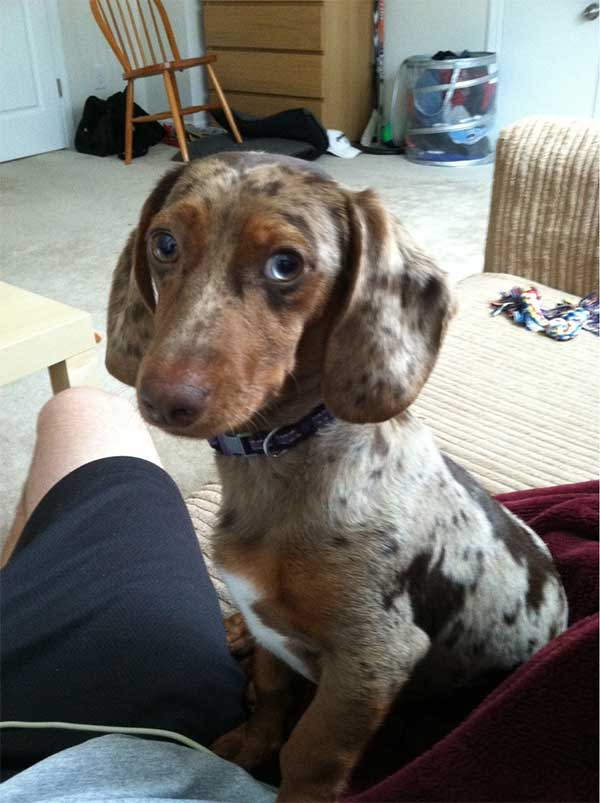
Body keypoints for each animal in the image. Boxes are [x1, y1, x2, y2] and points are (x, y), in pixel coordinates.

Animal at [106, 152, 568, 802]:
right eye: (164, 244)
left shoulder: (374, 658)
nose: (162, 401)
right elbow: (271, 690)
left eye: (285, 265)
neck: (279, 459)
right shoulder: (271, 631)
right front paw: (253, 742)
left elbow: (310, 753)